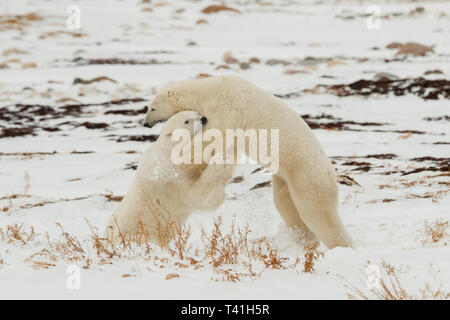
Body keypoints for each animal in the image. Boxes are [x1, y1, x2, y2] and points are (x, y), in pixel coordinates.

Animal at [105, 110, 232, 245]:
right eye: (186, 121)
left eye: (195, 113)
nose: (203, 119)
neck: (167, 151)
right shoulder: (167, 178)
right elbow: (193, 195)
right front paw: (222, 161)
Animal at [144, 75, 356, 250]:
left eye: (152, 107)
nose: (145, 123)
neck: (208, 89)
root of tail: (331, 173)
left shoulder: (226, 109)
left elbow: (214, 136)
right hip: (287, 179)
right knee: (286, 204)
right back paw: (303, 238)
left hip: (307, 177)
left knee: (318, 213)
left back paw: (342, 246)